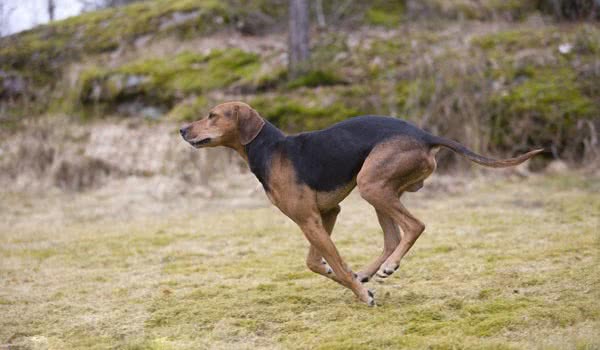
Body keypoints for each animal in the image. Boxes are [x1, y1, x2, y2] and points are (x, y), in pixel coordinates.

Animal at [179, 100, 544, 304]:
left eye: (212, 115)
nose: (182, 129)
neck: (270, 149)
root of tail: (425, 135)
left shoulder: (309, 220)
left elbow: (336, 263)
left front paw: (360, 293)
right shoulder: (327, 214)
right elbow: (316, 263)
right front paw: (353, 280)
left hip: (372, 186)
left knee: (415, 226)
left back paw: (387, 267)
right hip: (380, 192)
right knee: (393, 237)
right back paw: (372, 271)